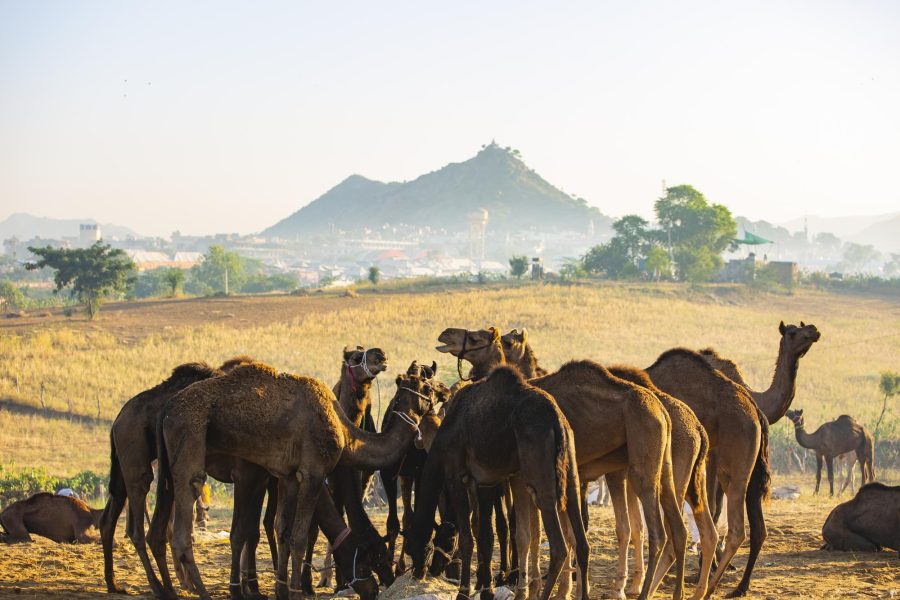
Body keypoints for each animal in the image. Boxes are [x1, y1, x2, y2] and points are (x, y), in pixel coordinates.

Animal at [149, 360, 440, 600]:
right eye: (376, 558)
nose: (378, 588)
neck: (344, 431)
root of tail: (166, 409)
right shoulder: (313, 472)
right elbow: (299, 537)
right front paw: (298, 591)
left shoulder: (288, 475)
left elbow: (284, 532)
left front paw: (282, 590)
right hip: (190, 436)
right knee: (184, 526)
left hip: (168, 466)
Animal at [402, 366, 588, 600]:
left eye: (413, 546)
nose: (419, 572)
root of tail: (557, 419)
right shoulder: (486, 482)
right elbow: (485, 535)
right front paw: (486, 589)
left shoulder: (456, 474)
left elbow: (467, 538)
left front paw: (464, 591)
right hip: (569, 469)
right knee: (582, 541)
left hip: (540, 474)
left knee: (559, 546)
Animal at [500, 328, 716, 600]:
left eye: (508, 342)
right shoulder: (573, 480)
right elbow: (567, 535)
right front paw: (568, 589)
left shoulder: (527, 478)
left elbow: (529, 535)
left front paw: (547, 590)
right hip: (667, 470)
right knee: (680, 529)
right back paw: (678, 592)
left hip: (644, 466)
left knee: (658, 532)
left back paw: (643, 591)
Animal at [644, 350, 768, 596]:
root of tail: (756, 413)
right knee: (755, 526)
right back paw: (730, 587)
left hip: (731, 469)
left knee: (736, 530)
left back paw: (708, 589)